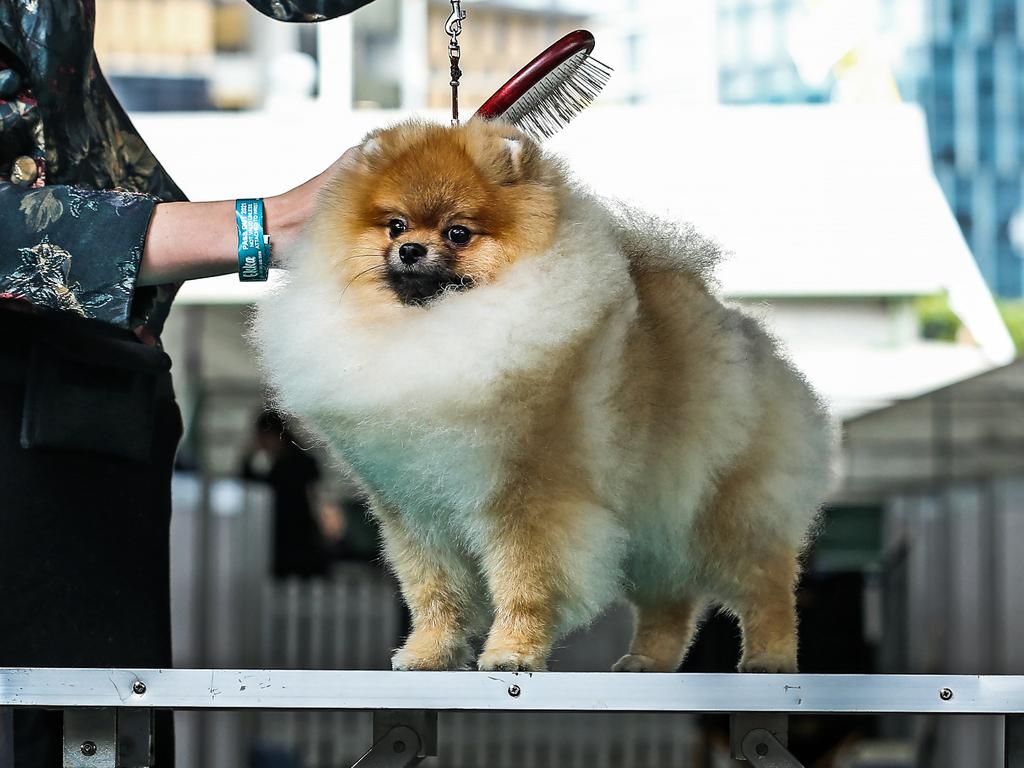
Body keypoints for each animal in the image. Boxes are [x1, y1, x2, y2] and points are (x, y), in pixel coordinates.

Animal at [251, 118, 835, 671]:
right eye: (394, 225)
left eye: (458, 232)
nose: (409, 249)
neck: (434, 328)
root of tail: (739, 330)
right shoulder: (415, 509)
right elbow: (434, 593)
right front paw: (428, 653)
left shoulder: (528, 496)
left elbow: (525, 585)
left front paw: (512, 651)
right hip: (655, 520)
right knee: (669, 600)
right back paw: (647, 659)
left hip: (725, 511)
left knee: (767, 586)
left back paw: (769, 657)